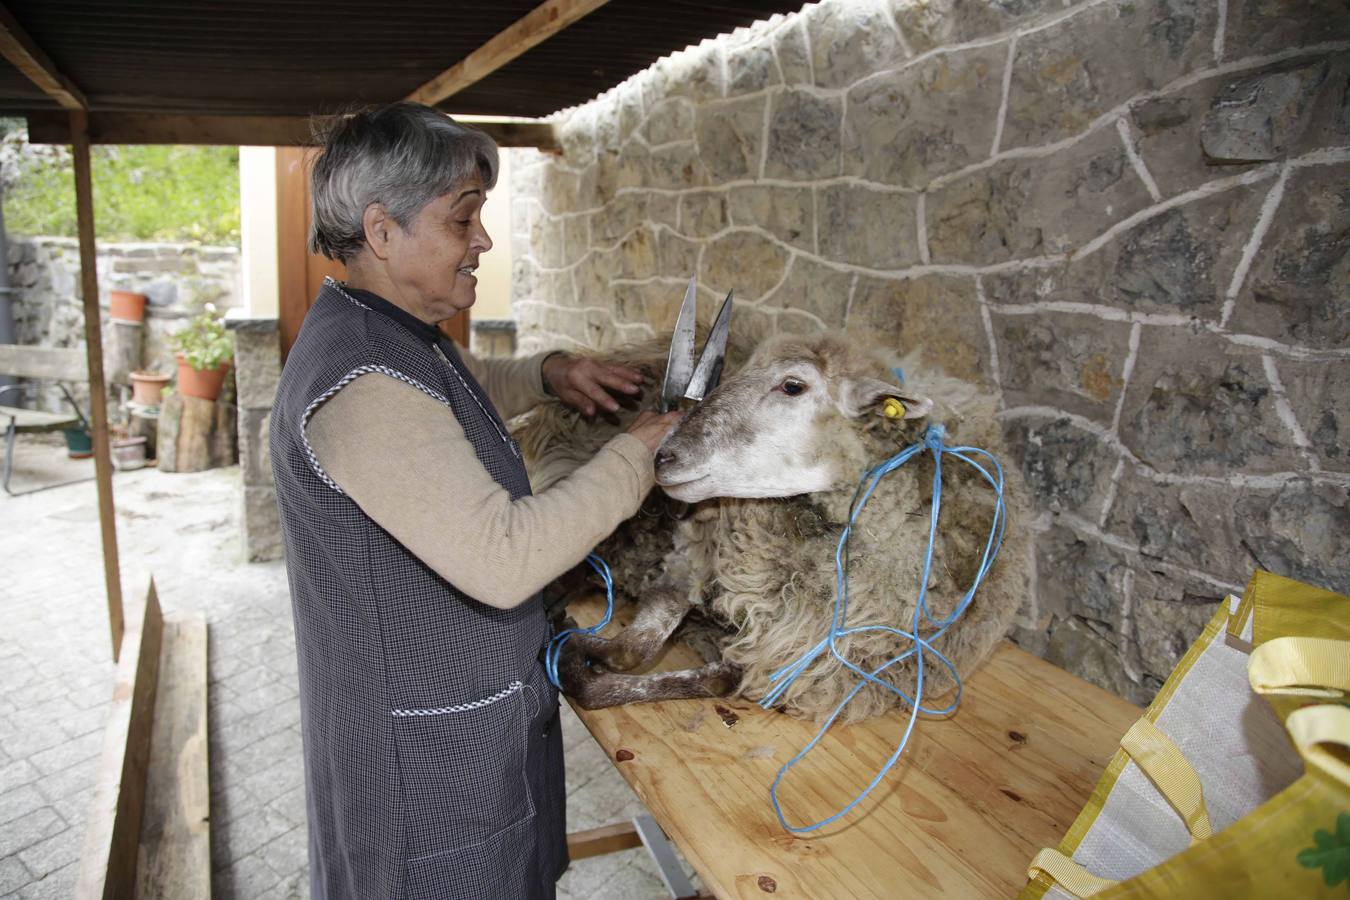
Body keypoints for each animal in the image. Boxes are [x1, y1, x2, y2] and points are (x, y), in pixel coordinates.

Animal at [515, 330, 1031, 723]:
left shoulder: (786, 656)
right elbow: (635, 647)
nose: (662, 457)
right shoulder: (690, 558)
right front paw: (574, 647)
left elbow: (712, 676)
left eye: (793, 386)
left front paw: (575, 650)